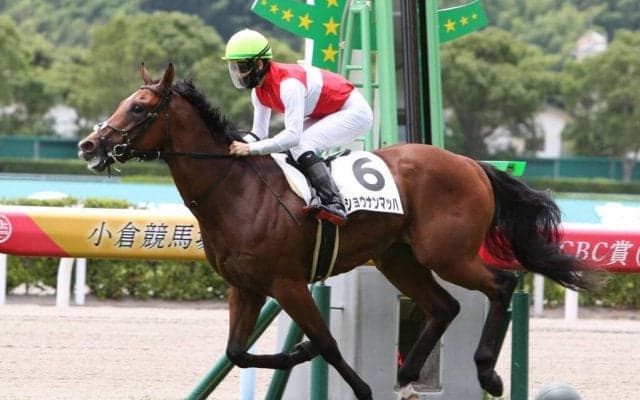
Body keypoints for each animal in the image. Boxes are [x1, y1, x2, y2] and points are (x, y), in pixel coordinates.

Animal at [78, 63, 593, 399]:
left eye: (139, 107)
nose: (88, 145)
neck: (237, 190)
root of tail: (471, 164)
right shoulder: (244, 287)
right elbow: (237, 352)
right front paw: (300, 352)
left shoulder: (287, 283)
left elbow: (326, 342)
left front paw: (354, 381)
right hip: (397, 257)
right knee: (444, 306)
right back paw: (407, 375)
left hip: (447, 253)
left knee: (502, 284)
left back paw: (488, 374)